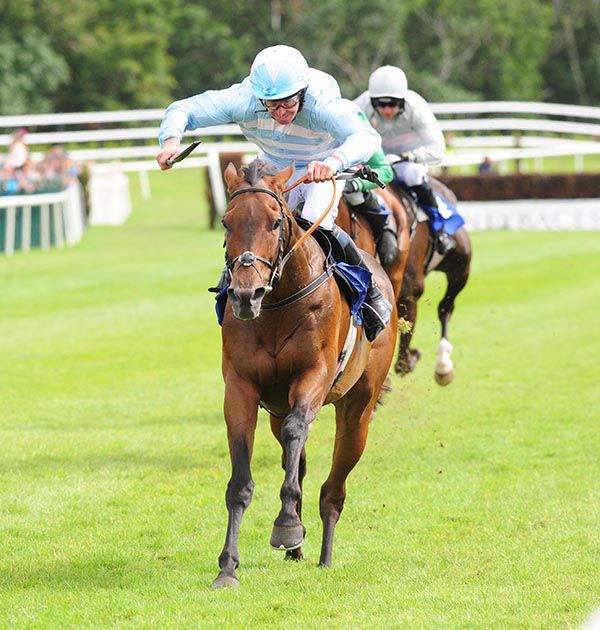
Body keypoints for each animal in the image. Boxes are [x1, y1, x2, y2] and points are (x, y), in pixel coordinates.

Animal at [213, 160, 396, 592]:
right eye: (227, 222)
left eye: (276, 222)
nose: (245, 295)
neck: (278, 305)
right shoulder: (241, 388)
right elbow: (240, 482)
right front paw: (227, 567)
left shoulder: (314, 374)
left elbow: (299, 428)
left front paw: (286, 526)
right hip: (276, 410)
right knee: (296, 460)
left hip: (358, 409)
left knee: (333, 487)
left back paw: (322, 552)